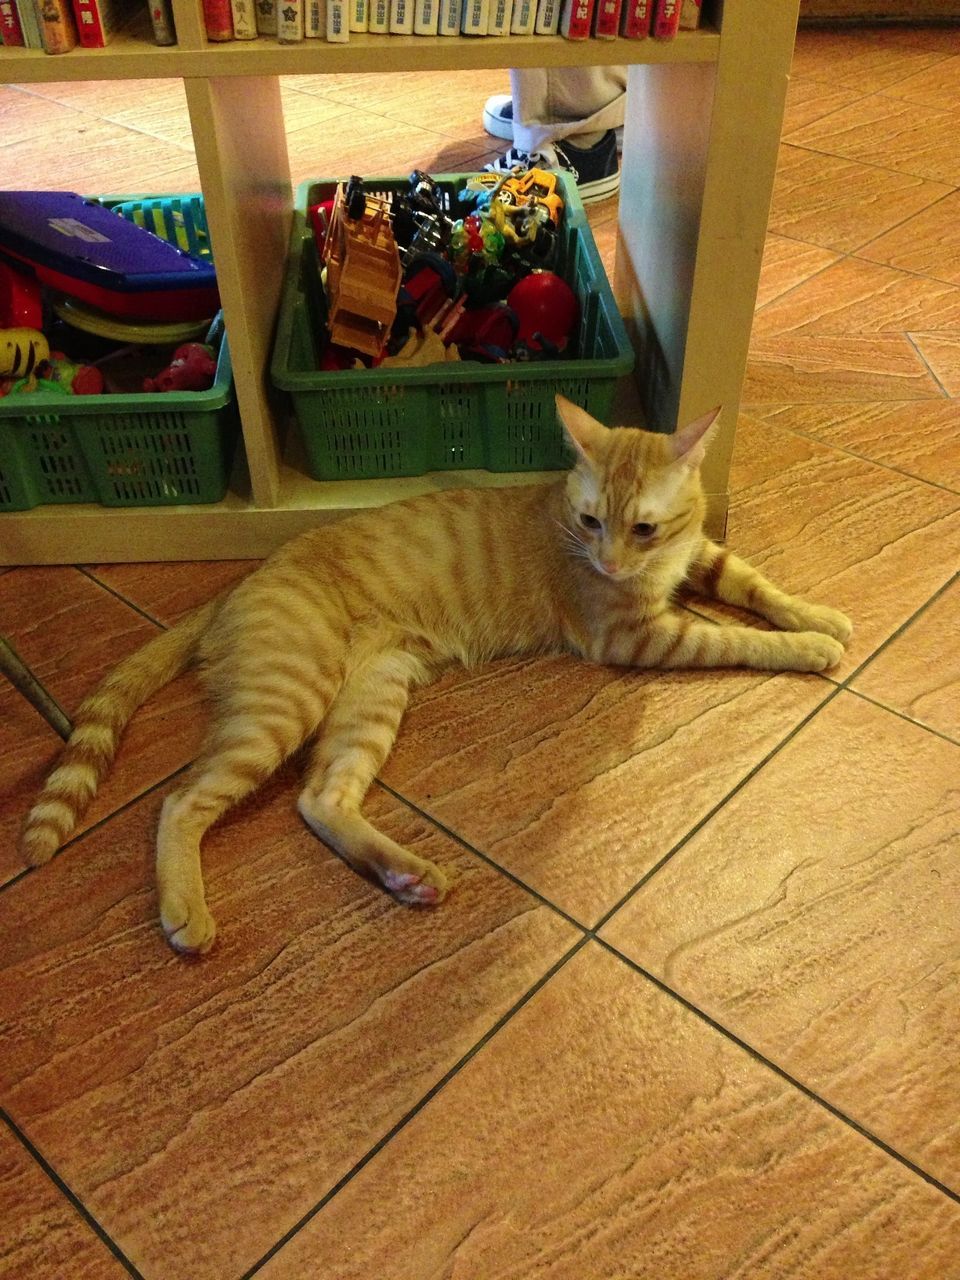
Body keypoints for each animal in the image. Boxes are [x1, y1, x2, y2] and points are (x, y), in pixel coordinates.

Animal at [20, 394, 849, 957]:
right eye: (590, 523)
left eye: (641, 526)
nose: (610, 561)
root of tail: (241, 581)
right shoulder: (632, 634)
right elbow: (731, 636)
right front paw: (808, 648)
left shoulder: (703, 555)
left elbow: (755, 585)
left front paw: (820, 615)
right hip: (289, 701)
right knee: (180, 802)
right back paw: (186, 911)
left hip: (372, 698)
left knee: (319, 799)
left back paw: (405, 873)